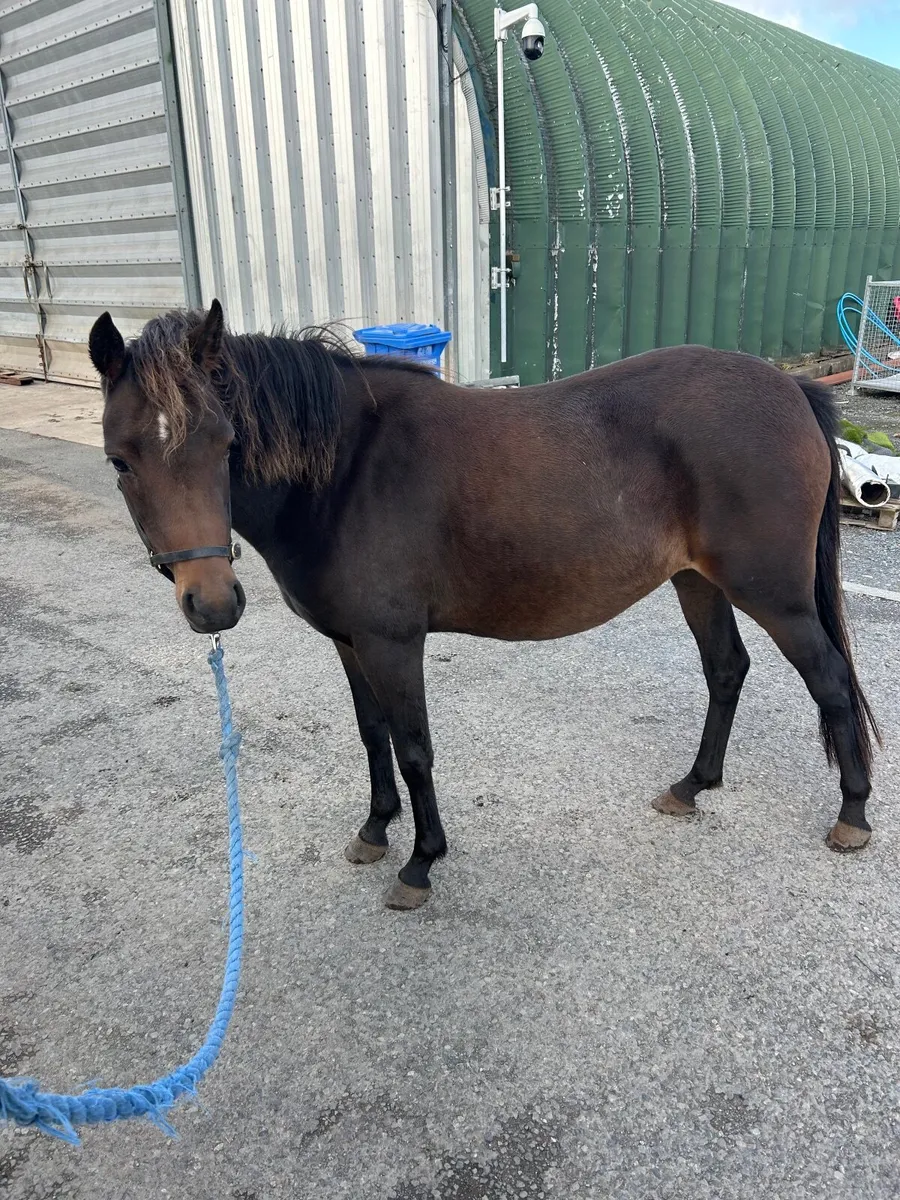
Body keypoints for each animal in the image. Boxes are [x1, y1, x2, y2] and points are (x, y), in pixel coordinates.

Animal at [89, 301, 880, 909]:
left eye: (225, 444)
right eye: (119, 461)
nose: (213, 604)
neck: (346, 469)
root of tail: (791, 390)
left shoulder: (391, 642)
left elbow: (414, 748)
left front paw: (420, 862)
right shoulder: (349, 641)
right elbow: (372, 735)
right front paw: (375, 831)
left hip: (773, 594)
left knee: (830, 680)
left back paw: (852, 813)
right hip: (698, 583)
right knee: (726, 671)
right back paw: (693, 786)